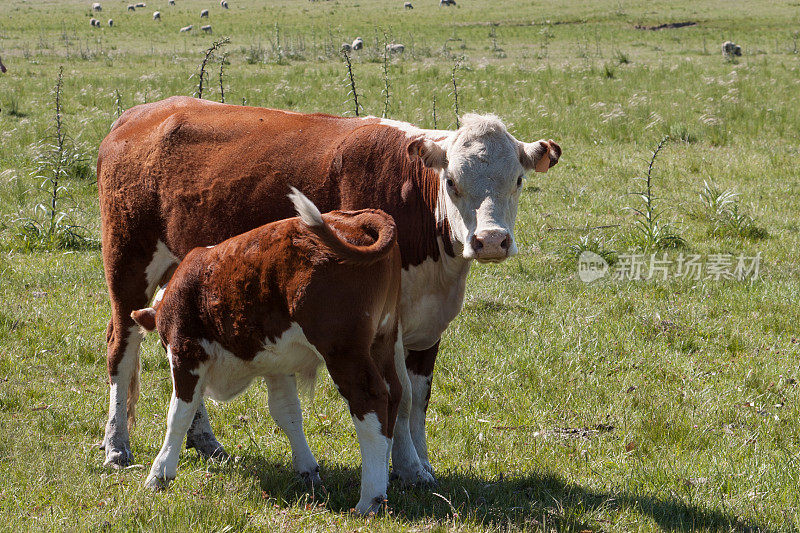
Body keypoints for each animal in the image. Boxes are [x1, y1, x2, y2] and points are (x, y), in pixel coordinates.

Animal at [133, 189, 406, 512]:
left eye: (165, 342)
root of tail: (356, 219)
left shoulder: (186, 354)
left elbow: (179, 415)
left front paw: (160, 473)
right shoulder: (278, 366)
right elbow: (287, 413)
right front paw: (307, 470)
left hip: (344, 352)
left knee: (371, 400)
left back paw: (369, 499)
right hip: (383, 340)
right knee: (394, 396)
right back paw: (383, 484)